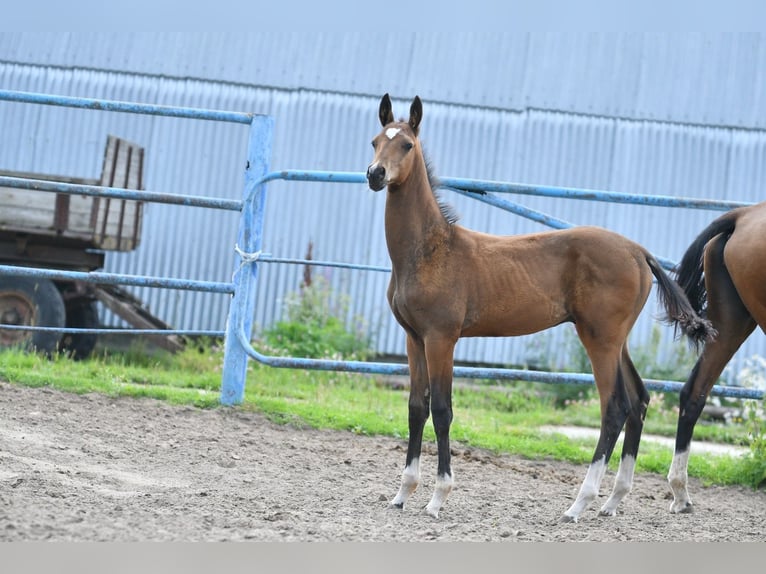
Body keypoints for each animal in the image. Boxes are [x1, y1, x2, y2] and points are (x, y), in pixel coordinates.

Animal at [368, 93, 716, 520]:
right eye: (375, 142)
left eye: (406, 145)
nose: (375, 174)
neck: (430, 250)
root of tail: (638, 251)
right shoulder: (414, 338)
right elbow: (417, 407)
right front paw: (403, 493)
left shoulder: (441, 338)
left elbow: (443, 411)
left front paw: (437, 498)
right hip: (616, 341)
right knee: (639, 400)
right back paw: (613, 500)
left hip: (599, 339)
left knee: (615, 406)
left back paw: (580, 503)